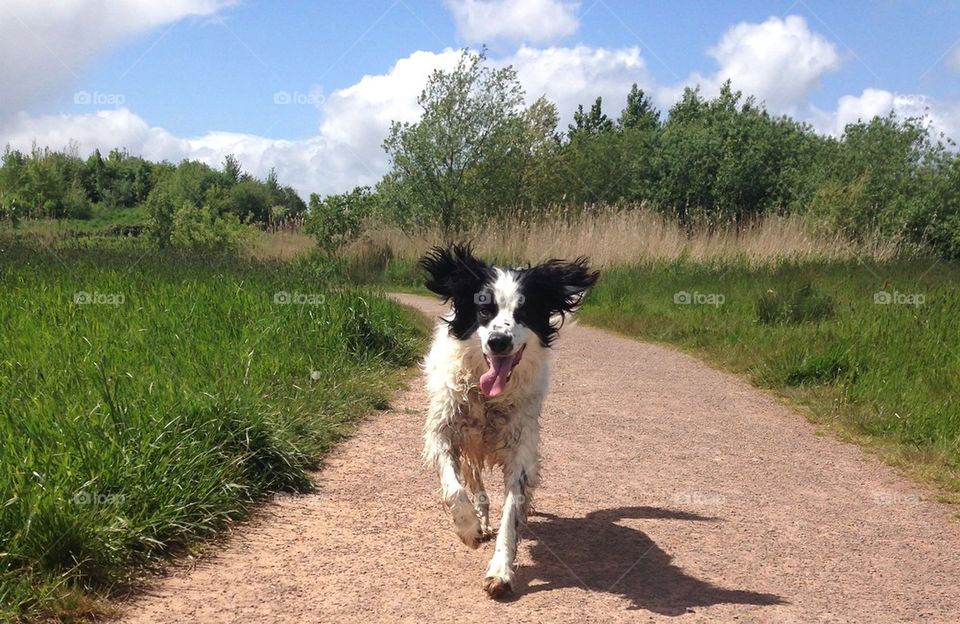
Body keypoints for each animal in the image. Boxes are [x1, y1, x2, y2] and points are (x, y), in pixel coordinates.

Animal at [418, 245, 596, 600]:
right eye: (484, 308)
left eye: (524, 311)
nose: (498, 341)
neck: (488, 399)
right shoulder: (443, 434)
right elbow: (454, 490)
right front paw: (469, 528)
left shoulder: (521, 455)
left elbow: (511, 515)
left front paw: (500, 571)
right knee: (476, 487)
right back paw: (480, 520)